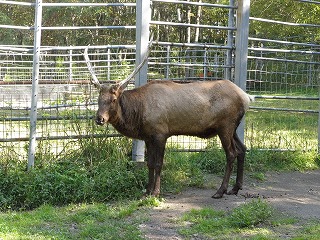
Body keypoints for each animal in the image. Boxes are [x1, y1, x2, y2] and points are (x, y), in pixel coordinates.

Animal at [84, 46, 252, 198]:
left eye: (113, 99)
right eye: (98, 99)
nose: (99, 119)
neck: (138, 114)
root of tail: (246, 97)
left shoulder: (161, 133)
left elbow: (159, 163)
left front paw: (156, 192)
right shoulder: (148, 137)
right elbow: (150, 163)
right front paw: (147, 191)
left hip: (225, 126)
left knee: (231, 153)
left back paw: (220, 191)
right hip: (232, 128)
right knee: (242, 149)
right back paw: (235, 188)